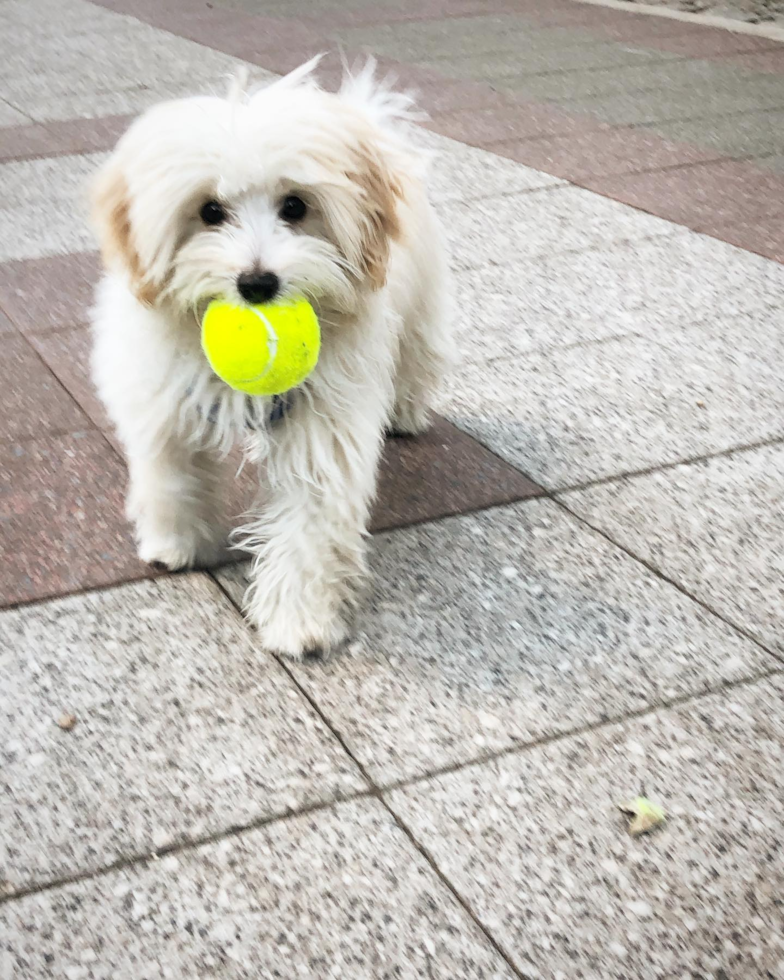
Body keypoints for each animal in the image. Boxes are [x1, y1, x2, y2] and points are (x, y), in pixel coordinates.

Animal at [89, 61, 450, 660]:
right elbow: (170, 469)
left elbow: (309, 517)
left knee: (418, 355)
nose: (257, 283)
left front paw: (300, 622)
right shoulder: (162, 395)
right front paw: (176, 542)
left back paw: (405, 412)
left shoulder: (323, 424)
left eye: (296, 206)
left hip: (420, 304)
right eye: (210, 211)